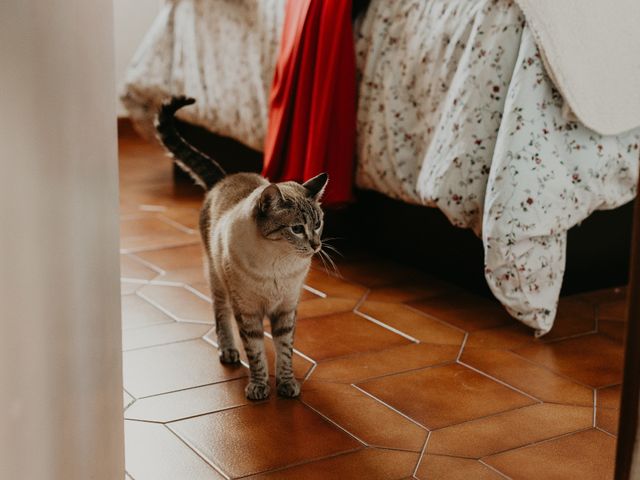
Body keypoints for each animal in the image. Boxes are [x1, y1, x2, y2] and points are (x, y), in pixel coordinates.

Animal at [154, 95, 324, 400]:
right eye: (296, 229)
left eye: (318, 225)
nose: (316, 245)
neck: (278, 262)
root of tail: (224, 178)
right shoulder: (247, 311)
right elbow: (255, 352)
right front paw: (258, 387)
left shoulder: (286, 309)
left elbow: (285, 351)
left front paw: (286, 385)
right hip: (217, 281)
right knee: (221, 316)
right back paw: (229, 352)